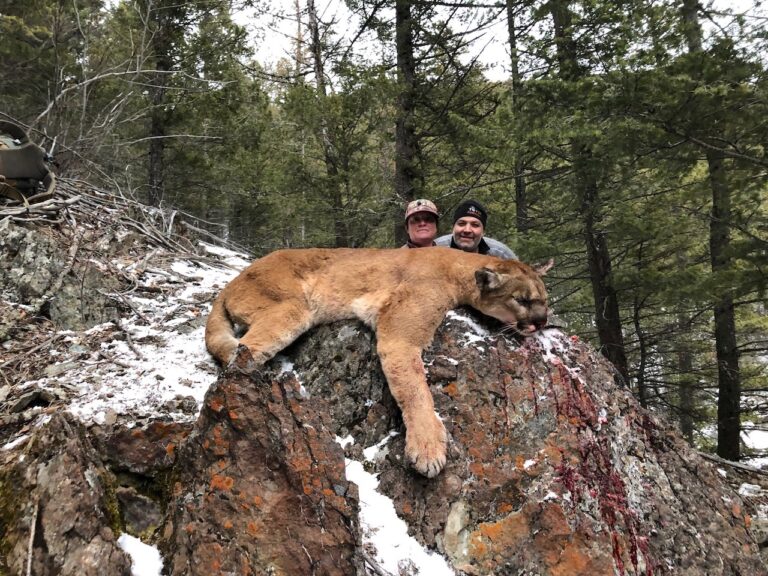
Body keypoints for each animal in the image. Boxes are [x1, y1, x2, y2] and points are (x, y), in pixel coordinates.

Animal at [204, 248, 552, 476]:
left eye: (544, 300)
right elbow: (415, 390)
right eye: (521, 300)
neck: (458, 268)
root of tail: (231, 283)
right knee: (239, 355)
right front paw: (428, 449)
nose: (541, 322)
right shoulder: (399, 335)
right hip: (291, 307)